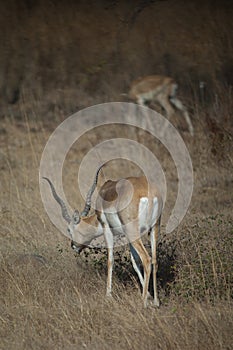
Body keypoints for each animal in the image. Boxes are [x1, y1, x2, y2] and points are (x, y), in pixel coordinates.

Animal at [44, 165, 164, 308]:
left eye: (69, 229)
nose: (73, 246)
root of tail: (148, 193)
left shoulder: (108, 229)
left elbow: (110, 260)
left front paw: (108, 296)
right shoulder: (127, 236)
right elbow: (134, 261)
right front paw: (149, 296)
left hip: (134, 232)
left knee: (146, 259)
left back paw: (143, 303)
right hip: (154, 228)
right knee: (154, 260)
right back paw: (156, 301)